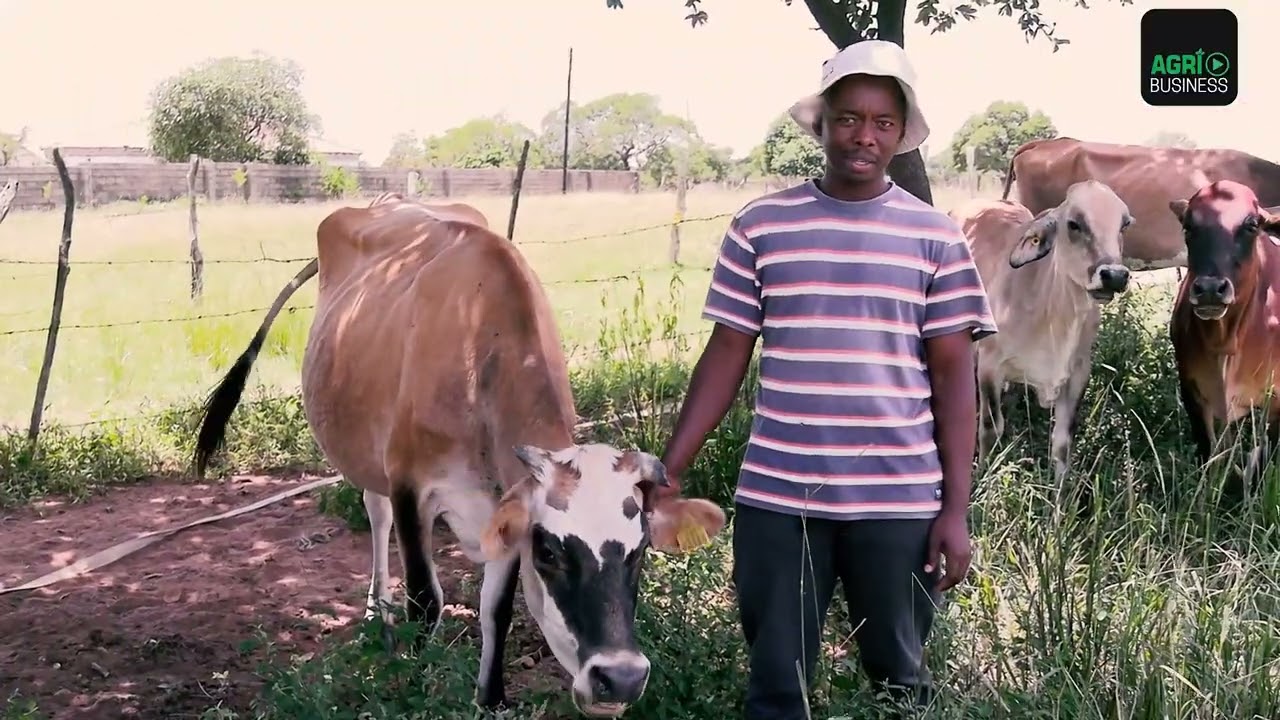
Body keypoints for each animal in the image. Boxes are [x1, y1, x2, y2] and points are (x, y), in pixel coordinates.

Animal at [190, 193, 727, 717]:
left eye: (641, 550)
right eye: (550, 551)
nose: (621, 677)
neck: (479, 359)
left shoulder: (504, 508)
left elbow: (497, 608)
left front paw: (491, 697)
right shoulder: (411, 487)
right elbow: (425, 600)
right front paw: (415, 687)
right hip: (368, 453)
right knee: (376, 514)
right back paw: (378, 613)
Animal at [950, 180, 1134, 482]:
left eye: (1124, 224)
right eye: (1074, 224)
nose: (1115, 276)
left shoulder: (1078, 374)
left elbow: (1062, 443)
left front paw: (1060, 494)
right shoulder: (989, 366)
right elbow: (990, 428)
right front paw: (982, 480)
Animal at [1168, 179, 1280, 499]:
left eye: (1252, 224)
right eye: (1188, 226)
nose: (1209, 289)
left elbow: (1262, 462)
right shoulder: (1192, 390)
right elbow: (1210, 456)